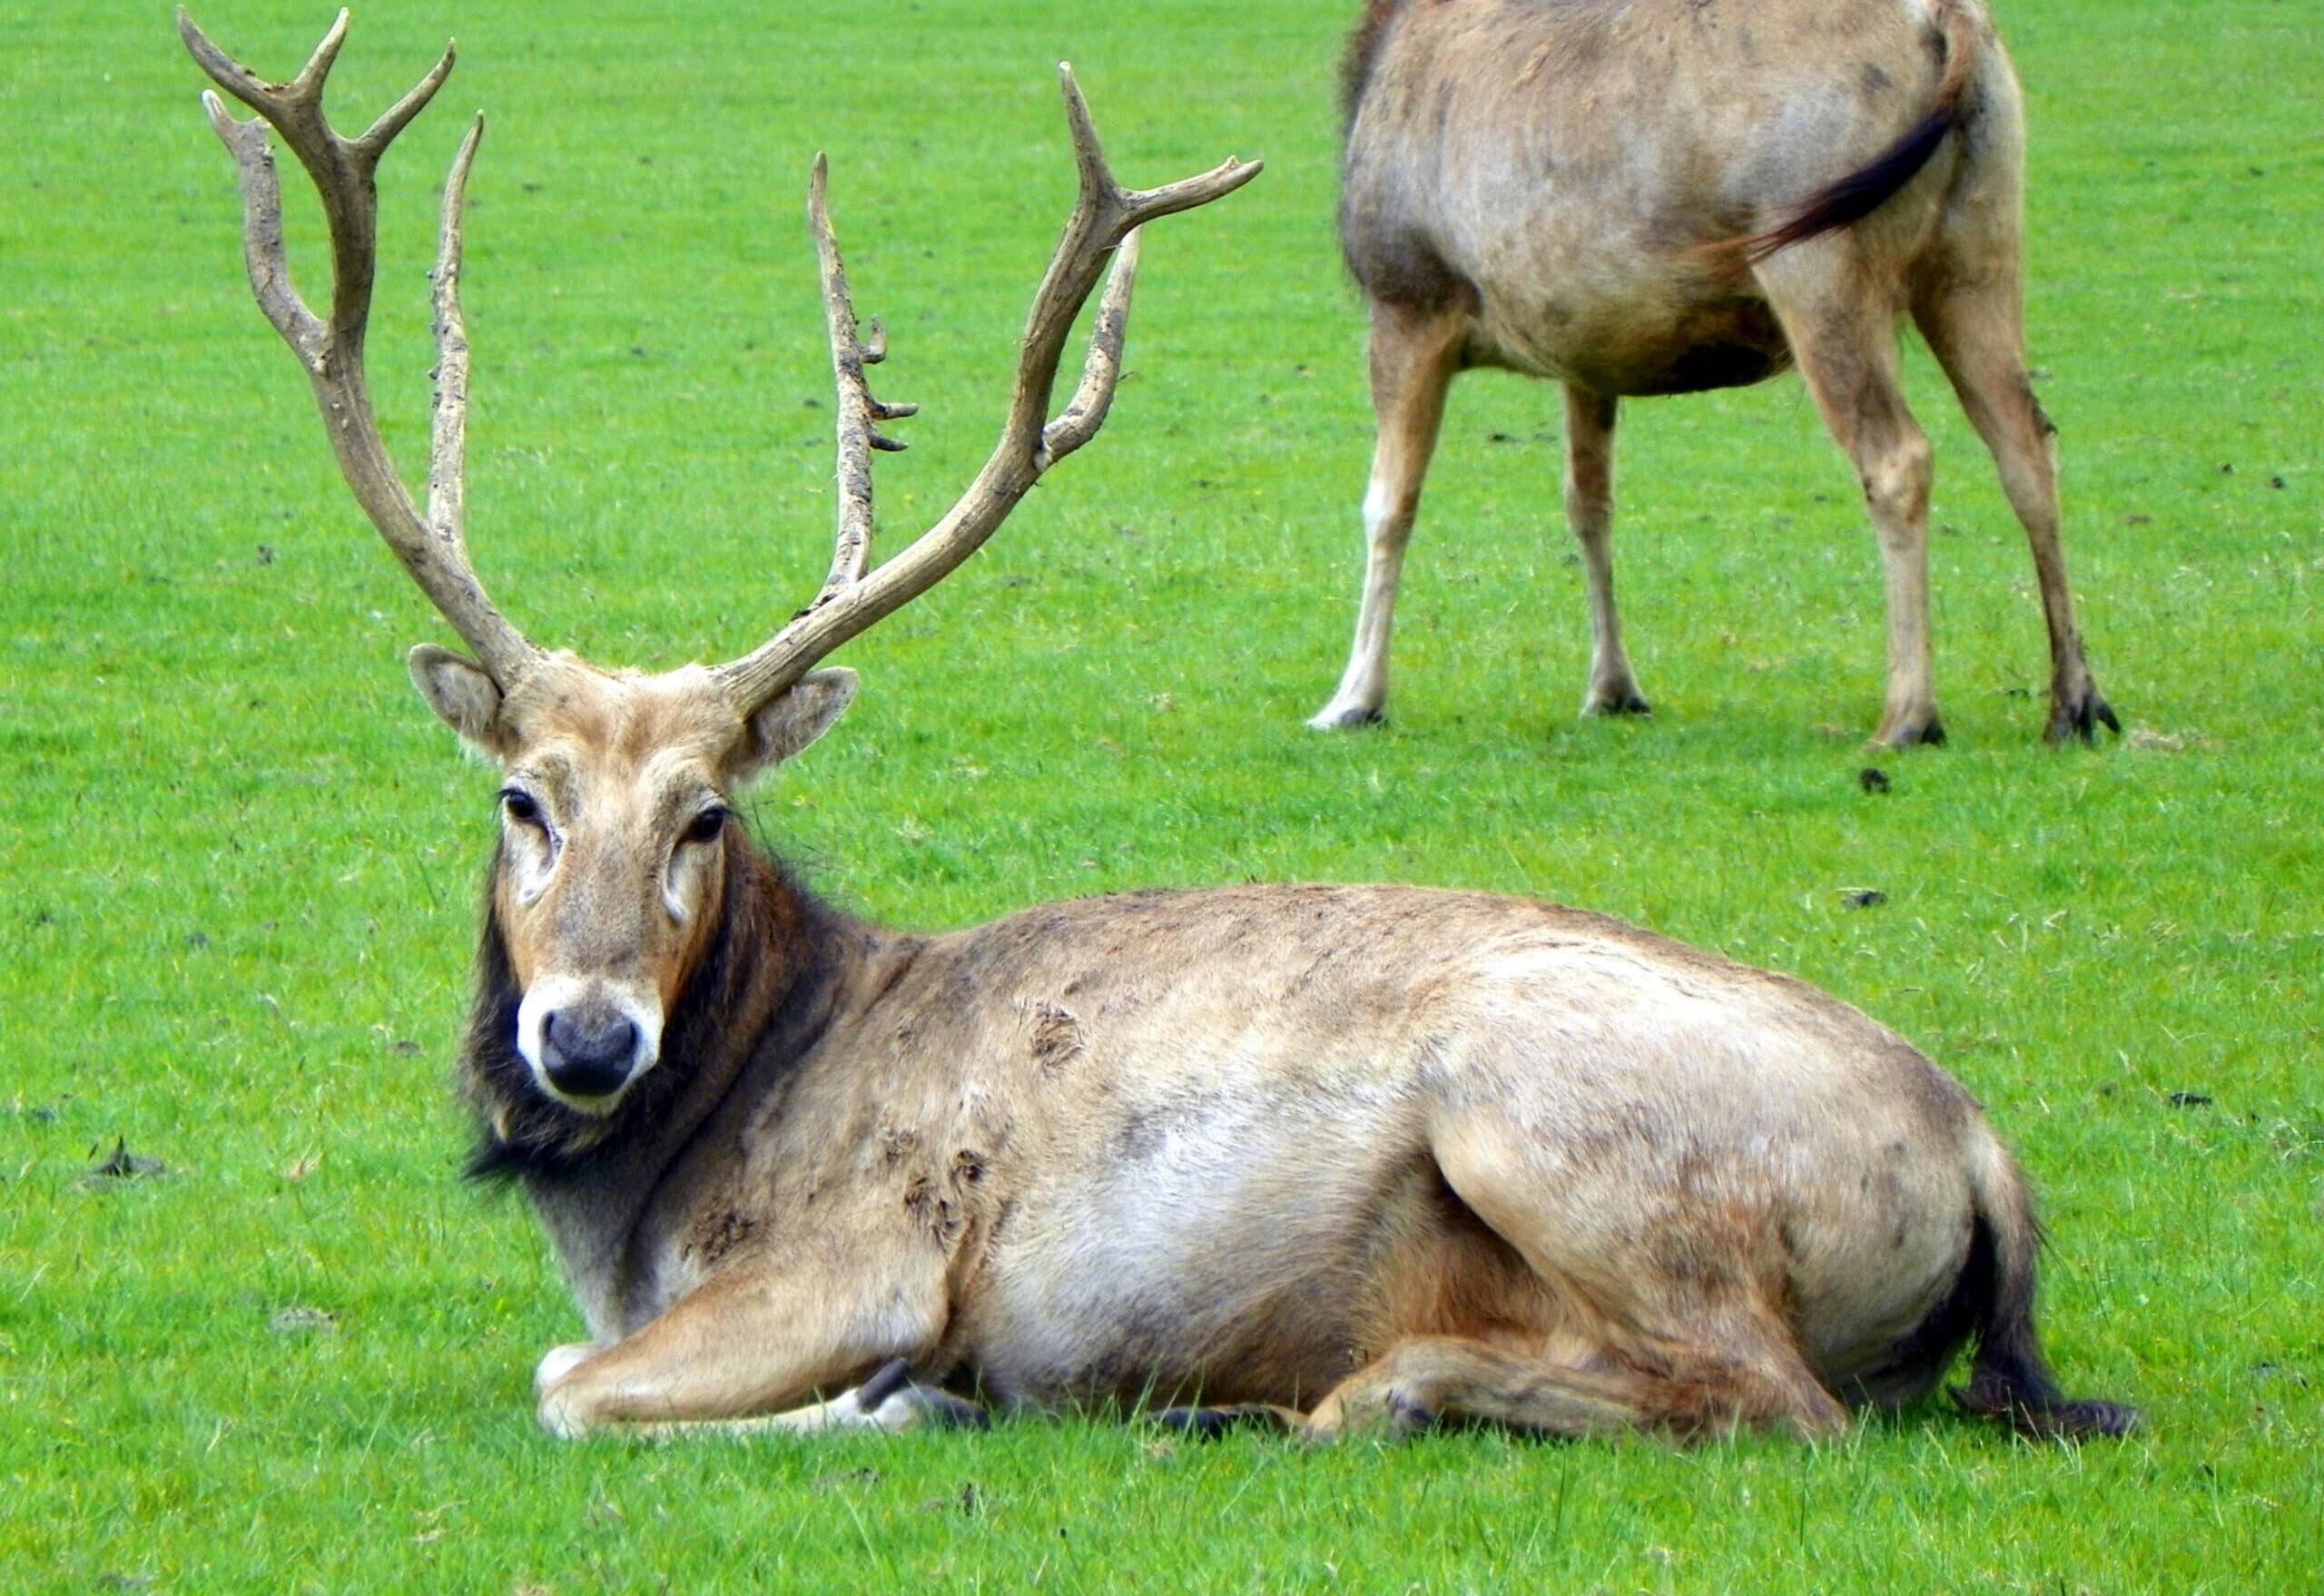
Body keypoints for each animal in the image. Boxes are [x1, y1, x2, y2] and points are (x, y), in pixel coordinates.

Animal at [1311, 0, 2120, 751]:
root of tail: (1951, 26)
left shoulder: (1409, 298)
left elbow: (1389, 504)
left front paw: (1354, 699)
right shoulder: (1586, 345)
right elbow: (1588, 503)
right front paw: (1613, 688)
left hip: (1819, 258)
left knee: (1899, 456)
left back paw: (1908, 716)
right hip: (1980, 244)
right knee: (2027, 443)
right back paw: (2074, 703)